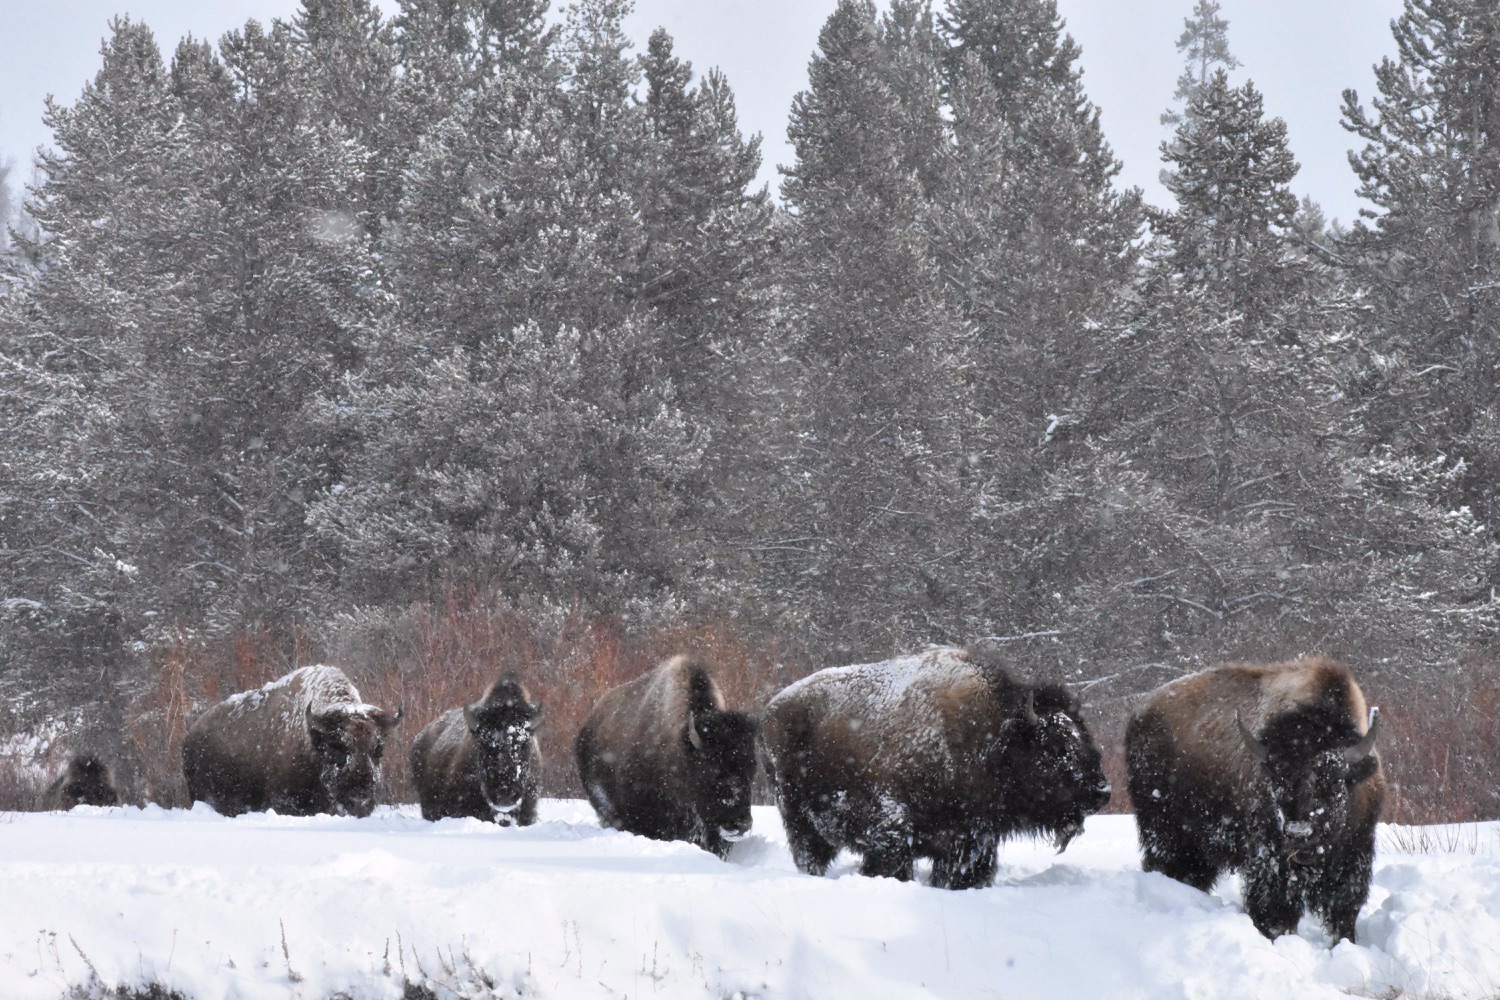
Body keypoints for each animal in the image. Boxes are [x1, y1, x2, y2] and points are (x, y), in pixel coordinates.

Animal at [762, 650, 1116, 893]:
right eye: (1055, 746)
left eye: (1085, 738)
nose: (1101, 792)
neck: (991, 737)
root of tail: (772, 708)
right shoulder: (892, 826)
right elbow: (891, 864)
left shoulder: (972, 840)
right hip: (798, 818)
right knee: (809, 853)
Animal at [1128, 659, 1380, 941]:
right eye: (1276, 777)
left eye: (1334, 777)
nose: (1299, 833)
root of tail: (1140, 712)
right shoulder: (1270, 863)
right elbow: (1276, 912)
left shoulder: (1354, 857)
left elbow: (1343, 913)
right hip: (1163, 831)